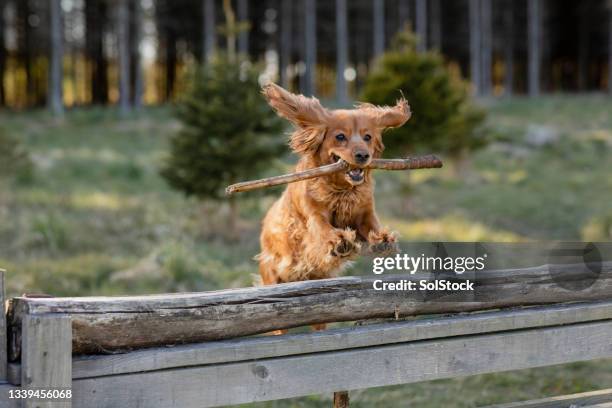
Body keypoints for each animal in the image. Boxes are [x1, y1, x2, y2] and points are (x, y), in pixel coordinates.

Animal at [256, 83, 408, 294]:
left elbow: (372, 225)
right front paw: (340, 241)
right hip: (272, 271)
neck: (342, 191)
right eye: (340, 136)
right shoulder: (313, 215)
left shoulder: (364, 213)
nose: (363, 155)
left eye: (367, 137)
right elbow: (322, 228)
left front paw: (383, 240)